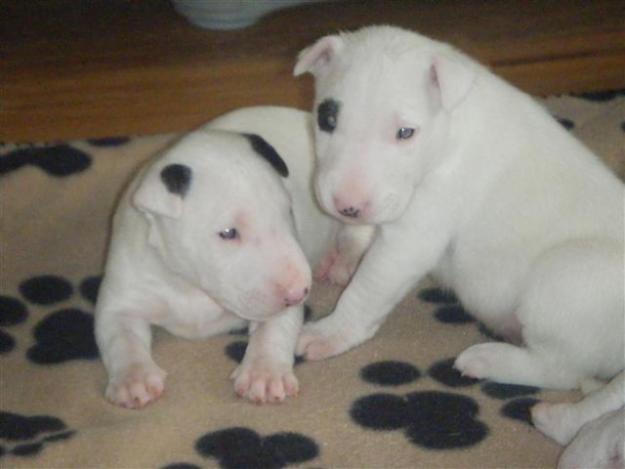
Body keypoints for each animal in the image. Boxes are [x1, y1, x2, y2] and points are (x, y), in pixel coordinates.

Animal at [95, 105, 368, 406]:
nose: (299, 293)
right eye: (228, 232)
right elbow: (120, 334)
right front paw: (134, 378)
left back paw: (342, 263)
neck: (189, 285)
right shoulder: (123, 294)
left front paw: (265, 372)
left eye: (288, 211)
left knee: (358, 234)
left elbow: (275, 328)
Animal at [294, 24, 624, 398]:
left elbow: (367, 289)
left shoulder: (413, 237)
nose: (348, 205)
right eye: (327, 118)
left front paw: (329, 332)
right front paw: (342, 261)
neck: (449, 131)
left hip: (565, 275)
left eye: (405, 132)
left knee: (563, 371)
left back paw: (488, 360)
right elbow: (359, 236)